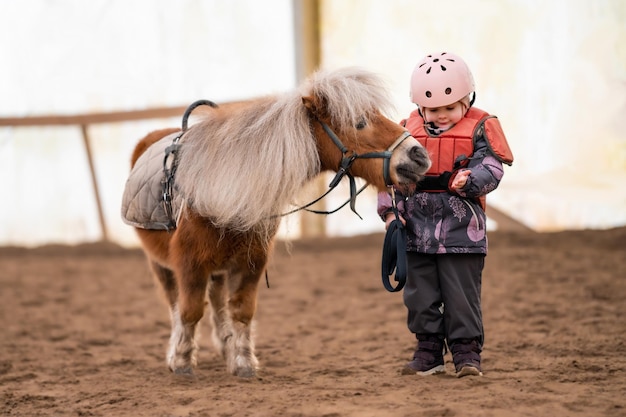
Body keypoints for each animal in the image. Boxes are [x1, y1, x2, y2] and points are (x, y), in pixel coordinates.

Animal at [127, 66, 428, 376]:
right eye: (359, 122)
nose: (419, 155)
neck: (226, 191)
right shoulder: (189, 263)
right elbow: (189, 311)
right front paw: (182, 360)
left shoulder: (251, 262)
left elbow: (241, 310)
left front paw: (243, 361)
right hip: (161, 265)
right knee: (176, 304)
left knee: (218, 303)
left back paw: (224, 344)